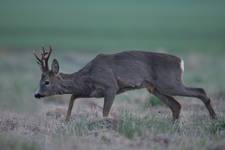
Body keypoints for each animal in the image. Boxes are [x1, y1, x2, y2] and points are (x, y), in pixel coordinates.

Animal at [33, 46, 216, 121]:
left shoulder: (110, 86)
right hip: (155, 88)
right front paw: (66, 120)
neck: (88, 76)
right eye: (40, 81)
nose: (37, 94)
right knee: (176, 105)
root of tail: (181, 62)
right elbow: (72, 97)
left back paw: (214, 119)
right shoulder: (91, 91)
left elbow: (105, 112)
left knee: (201, 91)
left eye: (46, 82)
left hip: (170, 83)